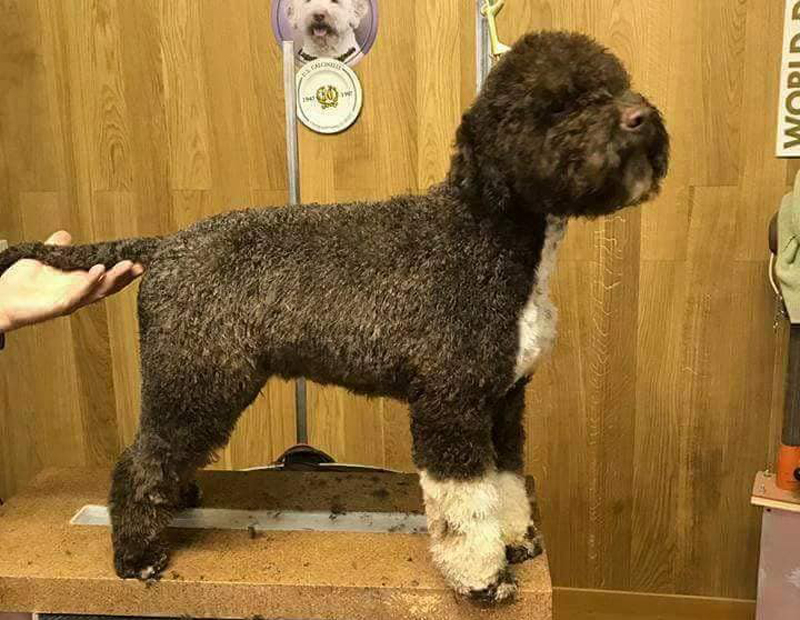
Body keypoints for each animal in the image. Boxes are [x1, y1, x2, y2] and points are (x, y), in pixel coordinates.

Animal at [0, 31, 668, 602]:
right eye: (555, 106)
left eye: (615, 84)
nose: (639, 117)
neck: (488, 233)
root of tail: (166, 244)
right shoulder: (450, 405)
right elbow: (465, 506)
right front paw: (483, 578)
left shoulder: (503, 402)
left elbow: (504, 480)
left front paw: (517, 541)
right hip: (198, 381)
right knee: (139, 460)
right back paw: (138, 556)